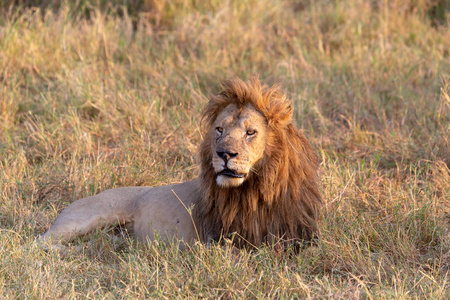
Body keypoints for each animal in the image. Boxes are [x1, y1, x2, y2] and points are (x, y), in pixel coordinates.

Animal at [38, 76, 320, 250]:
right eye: (219, 129)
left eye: (251, 132)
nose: (224, 154)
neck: (257, 191)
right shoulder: (221, 240)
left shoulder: (299, 234)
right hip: (84, 219)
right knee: (39, 243)